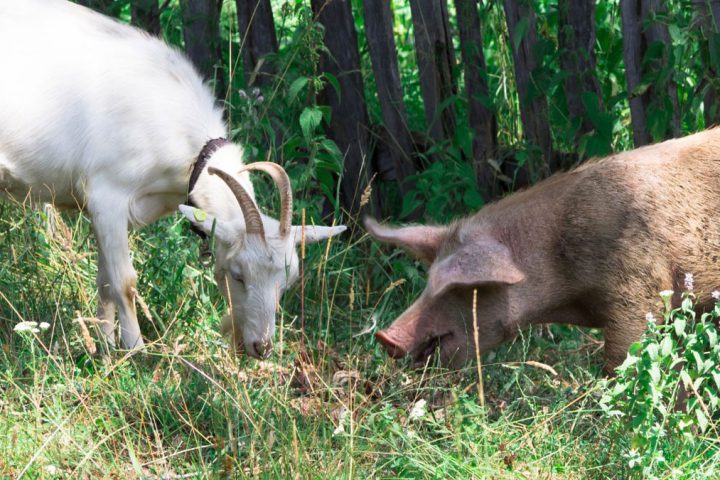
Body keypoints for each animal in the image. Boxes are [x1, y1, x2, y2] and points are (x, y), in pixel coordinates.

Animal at [0, 0, 346, 358]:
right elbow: (124, 281)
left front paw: (105, 348)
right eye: (237, 274)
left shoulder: (103, 213)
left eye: (287, 281)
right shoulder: (107, 195)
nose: (260, 346)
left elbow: (105, 283)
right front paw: (136, 351)